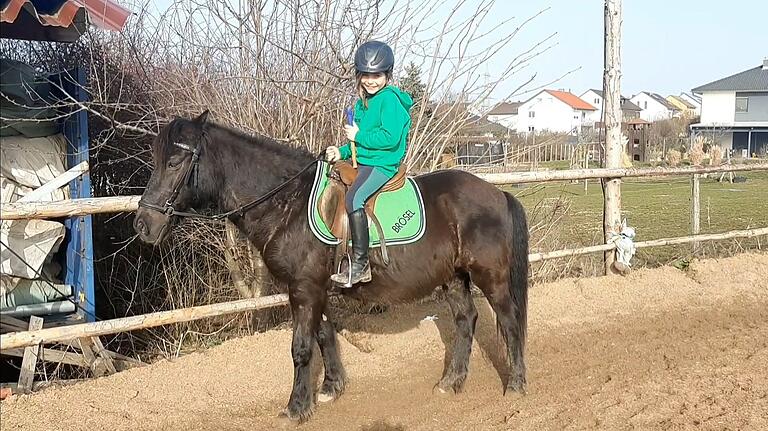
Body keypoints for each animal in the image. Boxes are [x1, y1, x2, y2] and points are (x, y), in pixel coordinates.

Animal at [134, 111, 528, 422]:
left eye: (174, 162)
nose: (143, 225)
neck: (287, 204)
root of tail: (496, 192)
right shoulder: (313, 287)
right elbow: (324, 335)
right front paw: (331, 388)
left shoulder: (304, 288)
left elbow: (301, 347)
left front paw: (296, 408)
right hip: (453, 276)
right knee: (466, 320)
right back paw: (451, 382)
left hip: (490, 276)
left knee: (509, 321)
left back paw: (516, 385)